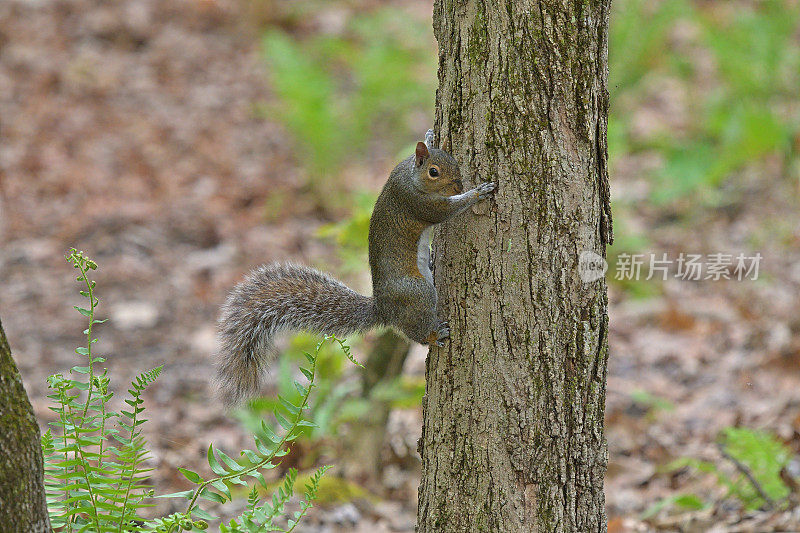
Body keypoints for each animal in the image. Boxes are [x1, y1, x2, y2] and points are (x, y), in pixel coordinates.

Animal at [216, 130, 496, 404]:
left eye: (454, 161)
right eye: (434, 172)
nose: (459, 185)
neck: (411, 176)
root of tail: (383, 309)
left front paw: (429, 136)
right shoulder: (416, 202)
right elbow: (445, 211)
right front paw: (478, 193)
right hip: (416, 292)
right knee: (416, 333)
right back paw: (435, 334)